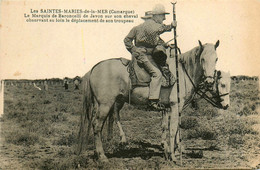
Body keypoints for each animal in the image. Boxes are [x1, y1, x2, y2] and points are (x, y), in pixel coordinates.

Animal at [77, 40, 223, 162]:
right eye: (203, 59)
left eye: (216, 59)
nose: (209, 82)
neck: (181, 73)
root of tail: (93, 68)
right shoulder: (175, 106)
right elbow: (172, 129)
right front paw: (172, 155)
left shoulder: (173, 108)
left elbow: (175, 128)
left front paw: (174, 150)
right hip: (105, 104)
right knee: (97, 126)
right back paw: (102, 156)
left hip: (106, 103)